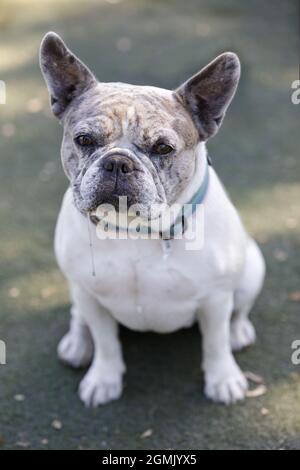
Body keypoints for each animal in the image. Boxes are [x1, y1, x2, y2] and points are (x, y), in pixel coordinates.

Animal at [39, 34, 264, 408]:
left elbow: (215, 343)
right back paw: (77, 343)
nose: (118, 162)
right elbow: (106, 342)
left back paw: (239, 332)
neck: (134, 231)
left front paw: (223, 379)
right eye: (84, 140)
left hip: (252, 270)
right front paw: (103, 379)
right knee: (78, 315)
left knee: (238, 311)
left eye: (162, 148)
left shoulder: (216, 299)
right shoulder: (91, 296)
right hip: (78, 289)